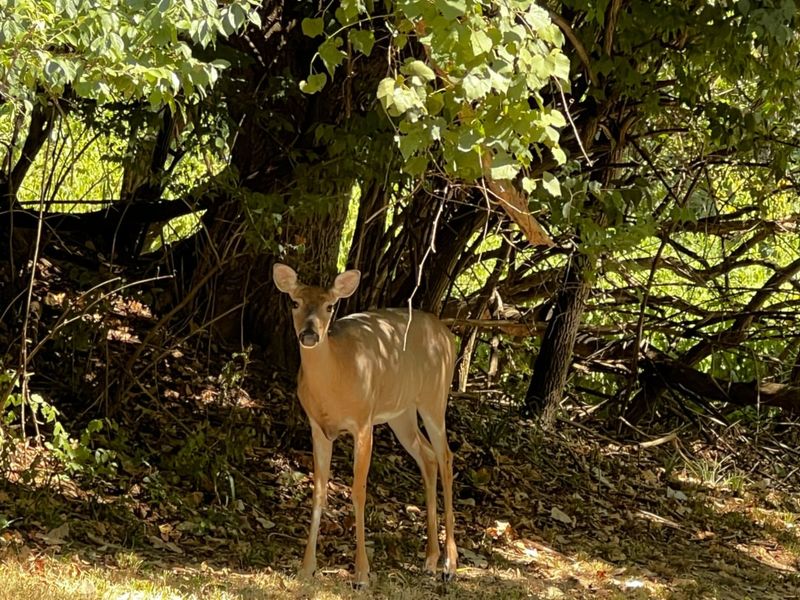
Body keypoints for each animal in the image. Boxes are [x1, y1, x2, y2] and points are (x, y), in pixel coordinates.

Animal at [272, 263, 458, 588]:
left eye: (330, 306)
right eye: (294, 302)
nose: (309, 334)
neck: (337, 378)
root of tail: (448, 335)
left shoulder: (363, 422)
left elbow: (358, 490)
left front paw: (361, 573)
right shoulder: (317, 427)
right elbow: (318, 490)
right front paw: (306, 568)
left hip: (435, 396)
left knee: (446, 456)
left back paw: (450, 564)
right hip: (401, 413)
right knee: (428, 457)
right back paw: (430, 560)